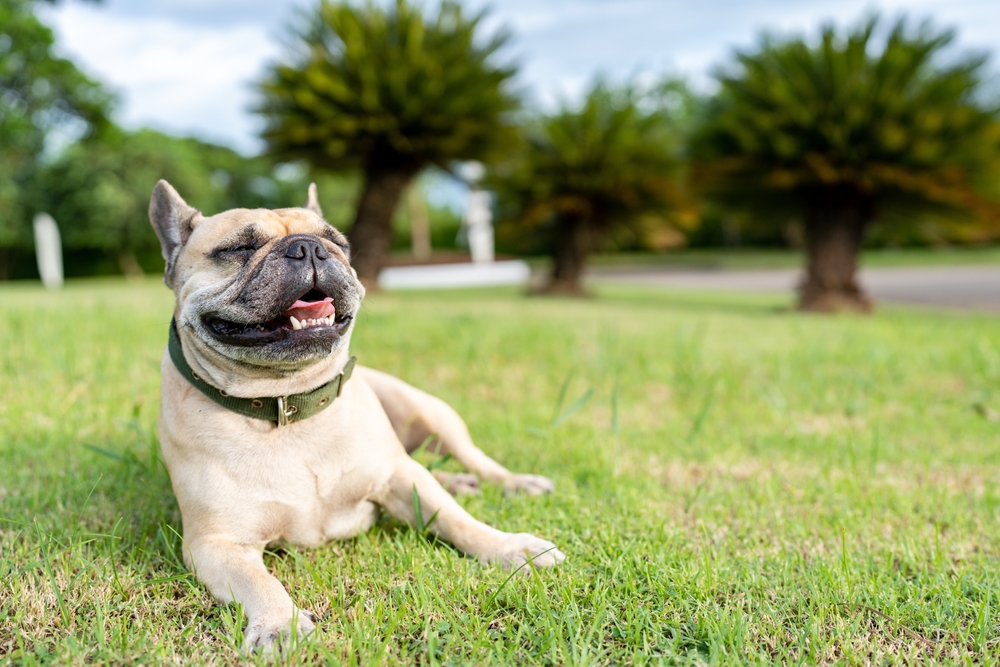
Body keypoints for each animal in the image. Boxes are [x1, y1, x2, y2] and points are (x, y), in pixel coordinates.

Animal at [149, 180, 568, 656]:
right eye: (238, 248)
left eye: (338, 242)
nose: (308, 248)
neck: (287, 402)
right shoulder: (215, 544)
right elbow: (260, 582)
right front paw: (280, 625)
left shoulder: (400, 478)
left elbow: (458, 520)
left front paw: (512, 547)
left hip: (432, 415)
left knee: (474, 459)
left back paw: (514, 482)